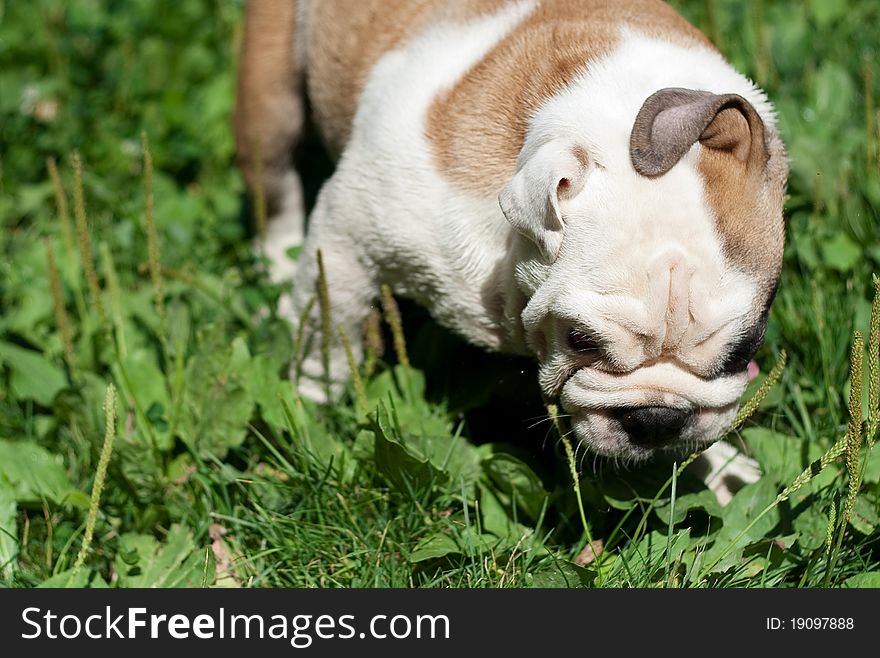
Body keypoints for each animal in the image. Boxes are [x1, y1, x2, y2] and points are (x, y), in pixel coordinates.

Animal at [232, 0, 784, 486]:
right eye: (580, 341)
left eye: (745, 350)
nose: (657, 418)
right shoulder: (348, 237)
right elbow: (327, 330)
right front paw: (312, 406)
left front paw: (719, 472)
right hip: (271, 91)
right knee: (274, 189)